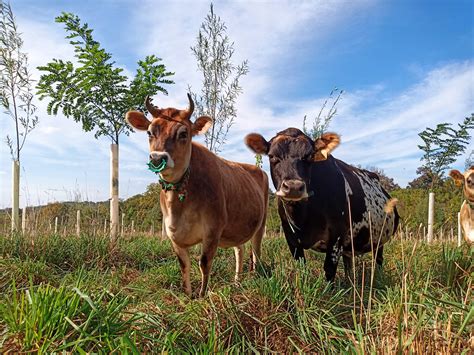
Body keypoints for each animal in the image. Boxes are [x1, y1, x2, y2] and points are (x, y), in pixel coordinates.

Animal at [124, 94, 268, 298]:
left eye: (183, 133)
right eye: (149, 132)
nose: (157, 158)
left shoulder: (213, 229)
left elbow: (204, 263)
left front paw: (201, 296)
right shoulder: (173, 234)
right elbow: (184, 265)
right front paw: (187, 295)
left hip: (261, 224)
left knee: (256, 252)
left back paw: (254, 277)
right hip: (235, 228)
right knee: (239, 250)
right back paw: (236, 282)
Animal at [246, 129, 398, 282]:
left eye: (310, 156)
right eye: (272, 156)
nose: (293, 187)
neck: (302, 217)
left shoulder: (337, 235)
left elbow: (329, 269)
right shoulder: (290, 236)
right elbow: (301, 265)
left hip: (379, 239)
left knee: (378, 260)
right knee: (348, 263)